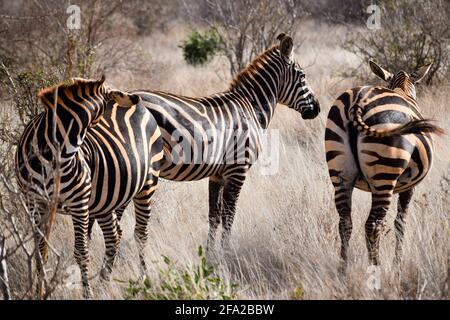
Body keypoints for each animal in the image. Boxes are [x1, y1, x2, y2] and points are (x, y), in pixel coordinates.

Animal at [14, 77, 164, 298]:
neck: (54, 154)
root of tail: (143, 107)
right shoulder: (35, 200)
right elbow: (40, 250)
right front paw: (38, 292)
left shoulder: (78, 202)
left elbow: (81, 251)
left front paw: (87, 294)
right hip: (104, 201)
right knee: (114, 236)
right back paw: (103, 283)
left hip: (147, 184)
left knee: (141, 234)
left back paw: (143, 279)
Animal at [129, 33, 320, 251]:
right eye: (303, 76)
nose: (318, 108)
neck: (251, 107)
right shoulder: (237, 169)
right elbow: (229, 215)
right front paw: (227, 252)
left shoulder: (217, 174)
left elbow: (214, 216)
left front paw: (211, 253)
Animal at [326, 60, 444, 268]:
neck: (401, 89)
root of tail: (359, 100)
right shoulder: (409, 187)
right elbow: (400, 222)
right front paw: (398, 263)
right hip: (385, 175)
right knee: (372, 225)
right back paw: (376, 267)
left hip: (340, 172)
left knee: (345, 222)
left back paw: (343, 269)